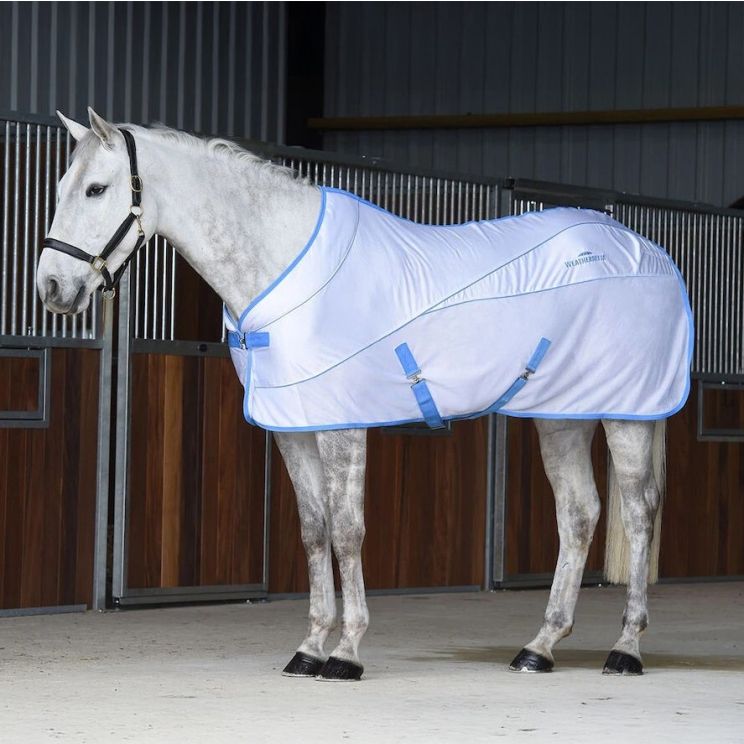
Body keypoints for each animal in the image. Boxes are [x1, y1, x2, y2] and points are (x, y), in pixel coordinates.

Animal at [36, 108, 687, 681]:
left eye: (96, 189)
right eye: (64, 185)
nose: (50, 288)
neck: (284, 262)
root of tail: (642, 248)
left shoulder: (342, 427)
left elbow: (348, 531)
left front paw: (347, 653)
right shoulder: (294, 429)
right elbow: (313, 531)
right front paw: (308, 650)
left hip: (627, 415)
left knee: (639, 512)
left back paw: (626, 649)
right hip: (562, 416)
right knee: (579, 514)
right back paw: (540, 647)